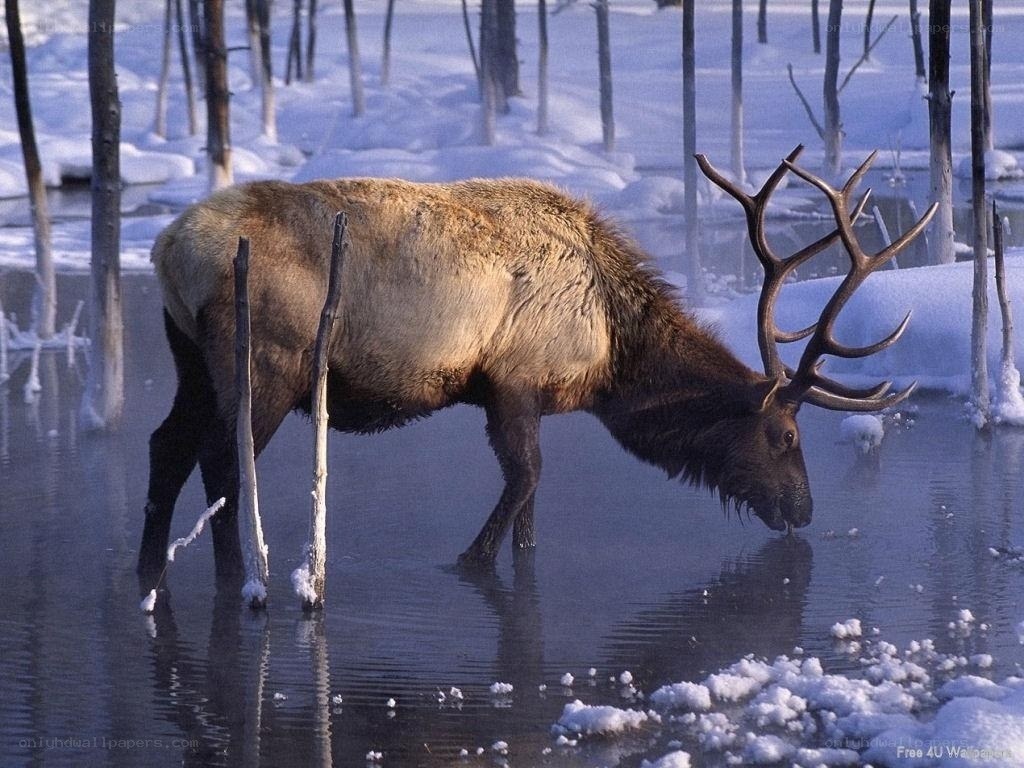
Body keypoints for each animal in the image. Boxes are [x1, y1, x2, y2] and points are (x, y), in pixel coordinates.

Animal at [137, 146, 934, 588]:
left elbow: (529, 510)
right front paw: (469, 562)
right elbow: (526, 479)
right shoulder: (512, 380)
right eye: (786, 437)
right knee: (222, 460)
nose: (803, 511)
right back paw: (236, 577)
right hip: (263, 360)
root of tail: (169, 249)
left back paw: (150, 567)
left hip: (189, 357)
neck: (610, 355)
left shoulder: (523, 394)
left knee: (166, 443)